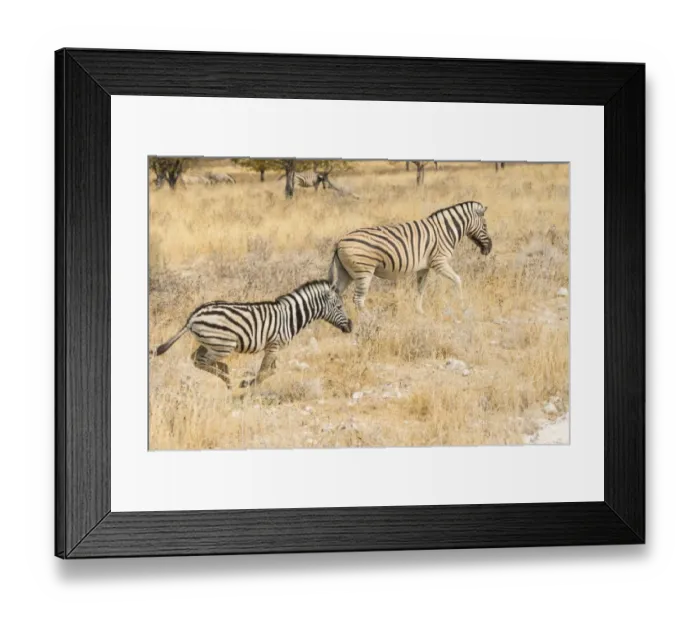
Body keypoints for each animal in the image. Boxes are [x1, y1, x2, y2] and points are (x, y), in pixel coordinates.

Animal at [151, 280, 353, 388]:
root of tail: (193, 317)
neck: (289, 317)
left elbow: (271, 370)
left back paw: (226, 374)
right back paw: (227, 377)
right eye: (339, 306)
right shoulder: (274, 345)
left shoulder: (274, 347)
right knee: (202, 361)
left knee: (195, 358)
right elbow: (264, 372)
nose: (351, 326)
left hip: (210, 343)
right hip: (223, 345)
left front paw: (247, 383)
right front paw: (246, 385)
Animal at [329, 201, 493, 314]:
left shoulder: (424, 267)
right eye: (485, 225)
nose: (489, 248)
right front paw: (462, 306)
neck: (445, 231)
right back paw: (369, 319)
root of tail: (340, 242)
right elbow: (458, 280)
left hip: (346, 273)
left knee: (335, 294)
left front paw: (420, 312)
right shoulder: (439, 262)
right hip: (363, 272)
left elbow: (420, 288)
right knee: (358, 299)